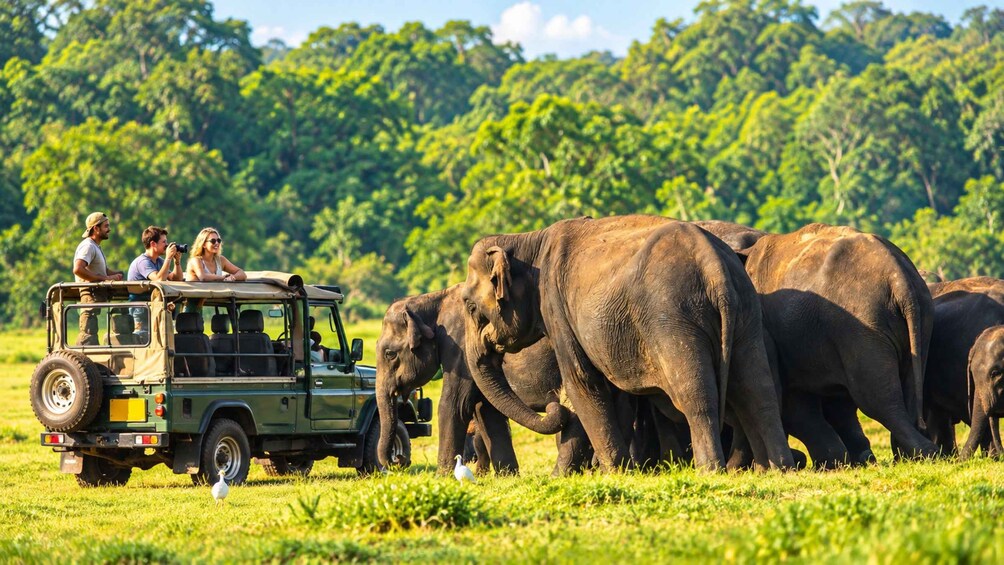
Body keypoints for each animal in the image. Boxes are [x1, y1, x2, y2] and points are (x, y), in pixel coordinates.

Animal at [374, 285, 592, 476]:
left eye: (389, 354)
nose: (398, 459)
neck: (432, 300)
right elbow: (485, 409)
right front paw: (507, 476)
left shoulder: (461, 346)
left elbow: (455, 404)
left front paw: (442, 478)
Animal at [460, 214, 795, 472]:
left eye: (470, 306)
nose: (556, 406)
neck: (530, 241)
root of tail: (714, 266)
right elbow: (614, 392)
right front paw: (620, 469)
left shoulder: (556, 308)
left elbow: (582, 380)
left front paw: (613, 470)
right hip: (745, 313)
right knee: (757, 388)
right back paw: (778, 468)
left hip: (671, 318)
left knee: (696, 395)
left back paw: (710, 469)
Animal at [731, 223, 938, 466]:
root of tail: (900, 278)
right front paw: (845, 460)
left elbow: (791, 398)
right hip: (920, 317)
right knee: (908, 388)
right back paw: (907, 455)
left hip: (862, 326)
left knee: (878, 398)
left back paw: (922, 454)